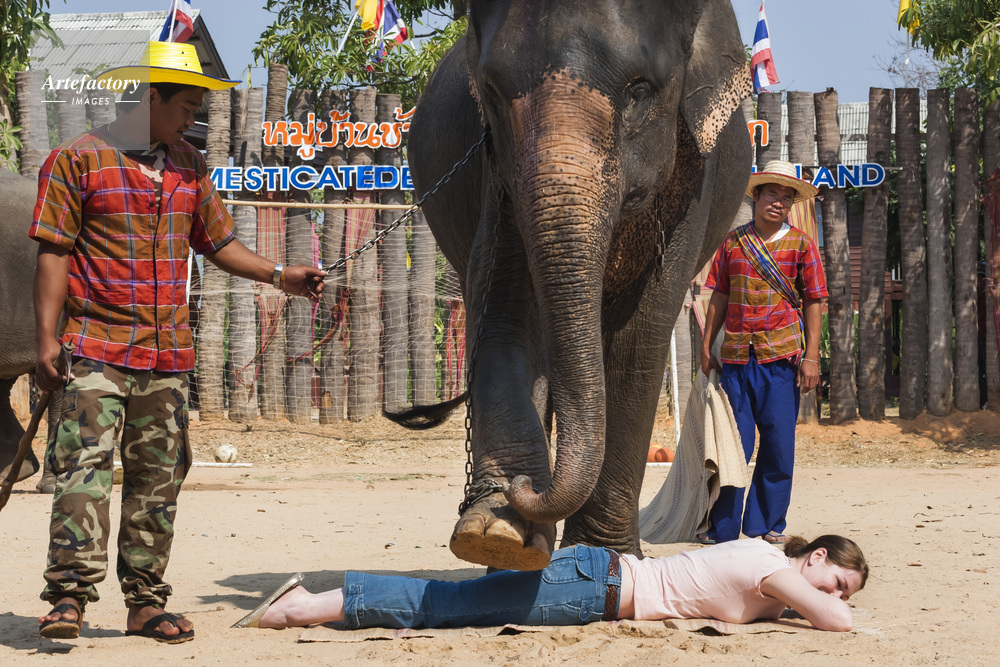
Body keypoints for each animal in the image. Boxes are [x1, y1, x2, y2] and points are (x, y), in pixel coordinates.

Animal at [405, 0, 752, 571]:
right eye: (492, 92)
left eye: (639, 90)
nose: (524, 486)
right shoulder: (496, 179)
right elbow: (504, 311)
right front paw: (496, 533)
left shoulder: (693, 181)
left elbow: (641, 333)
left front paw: (602, 553)